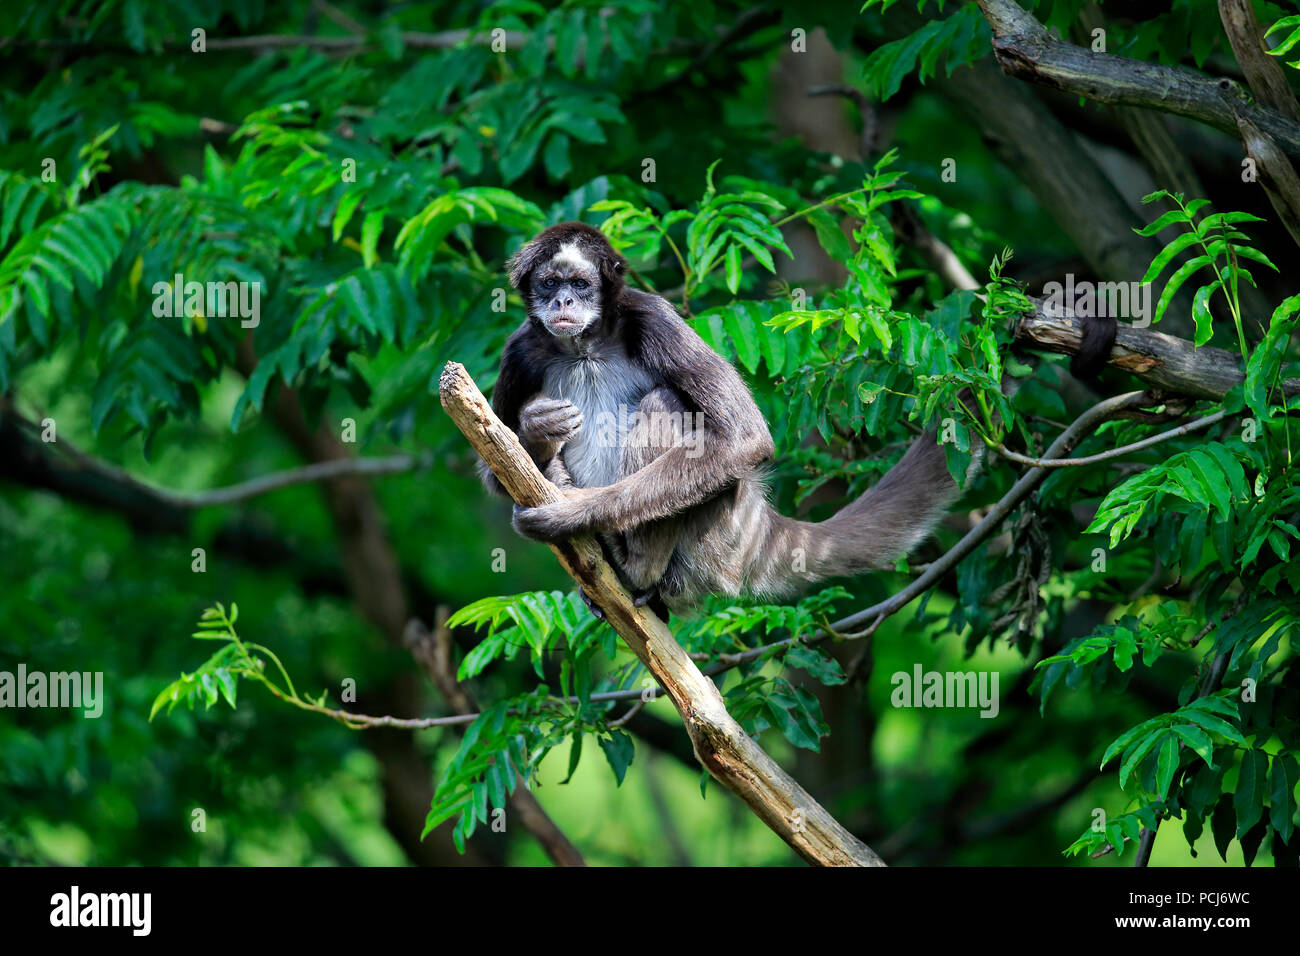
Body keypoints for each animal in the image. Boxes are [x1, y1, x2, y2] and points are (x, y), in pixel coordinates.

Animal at [483, 221, 972, 616]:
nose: (563, 301)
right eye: (549, 283)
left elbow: (746, 439)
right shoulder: (520, 348)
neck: (585, 349)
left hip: (716, 540)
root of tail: (757, 519)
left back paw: (632, 567)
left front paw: (571, 512)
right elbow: (496, 473)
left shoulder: (652, 316)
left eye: (581, 284)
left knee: (665, 401)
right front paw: (537, 430)